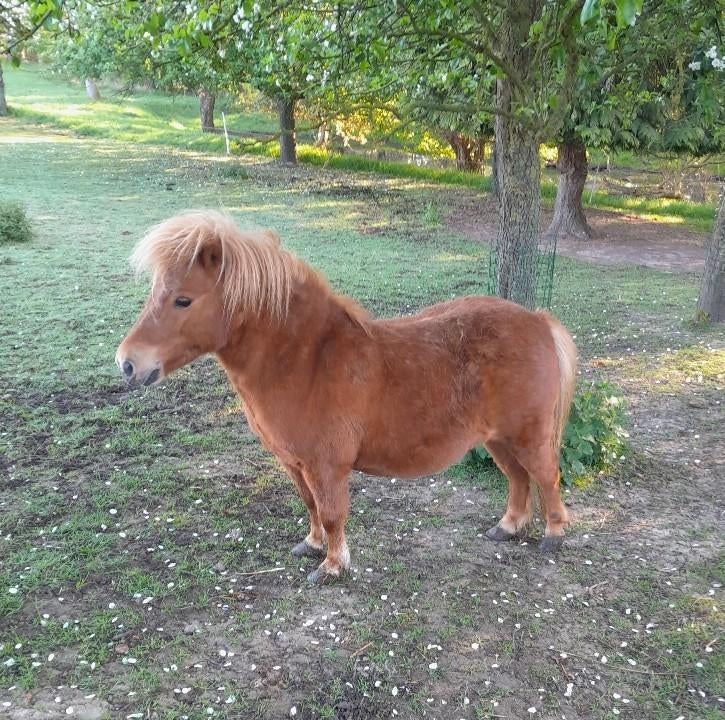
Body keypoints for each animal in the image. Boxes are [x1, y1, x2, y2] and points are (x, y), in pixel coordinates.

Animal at [116, 210, 577, 584]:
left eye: (183, 300)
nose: (127, 363)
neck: (306, 360)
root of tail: (537, 320)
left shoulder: (326, 466)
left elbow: (332, 513)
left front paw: (333, 565)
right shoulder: (296, 464)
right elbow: (311, 506)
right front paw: (312, 545)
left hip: (527, 435)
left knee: (545, 476)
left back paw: (553, 535)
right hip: (497, 439)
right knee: (518, 480)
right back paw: (508, 527)